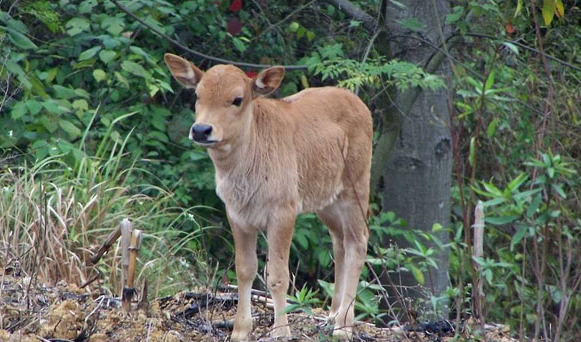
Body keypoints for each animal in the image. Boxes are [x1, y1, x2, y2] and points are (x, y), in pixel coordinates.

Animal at [164, 53, 372, 340]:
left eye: (237, 99)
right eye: (197, 94)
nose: (202, 129)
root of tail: (361, 105)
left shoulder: (283, 211)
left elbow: (277, 274)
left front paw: (281, 330)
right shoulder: (236, 214)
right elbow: (244, 270)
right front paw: (240, 330)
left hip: (356, 187)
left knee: (358, 242)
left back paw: (343, 326)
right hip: (327, 200)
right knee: (340, 242)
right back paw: (332, 316)